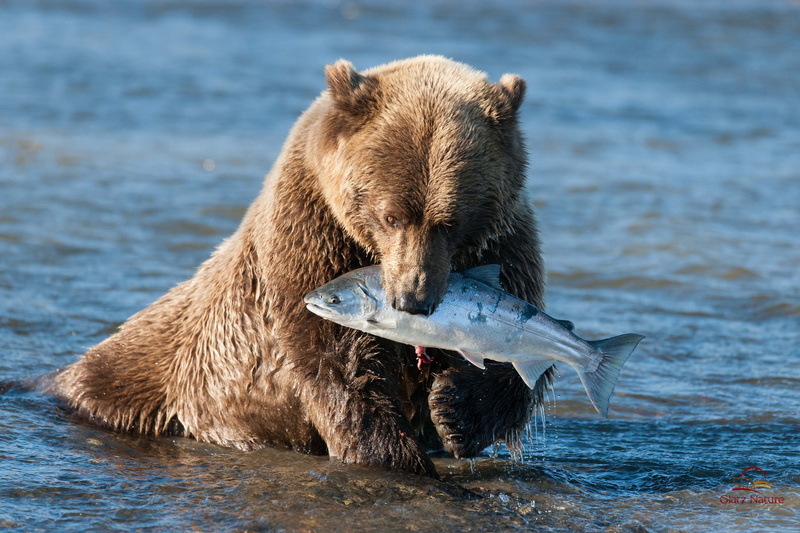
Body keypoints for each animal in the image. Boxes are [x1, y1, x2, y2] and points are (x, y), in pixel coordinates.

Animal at [45, 55, 550, 478]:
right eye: (391, 215)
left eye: (451, 221)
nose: (413, 299)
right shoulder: (310, 236)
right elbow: (337, 359)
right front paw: (393, 455)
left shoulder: (504, 245)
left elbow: (519, 353)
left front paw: (453, 409)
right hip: (155, 372)